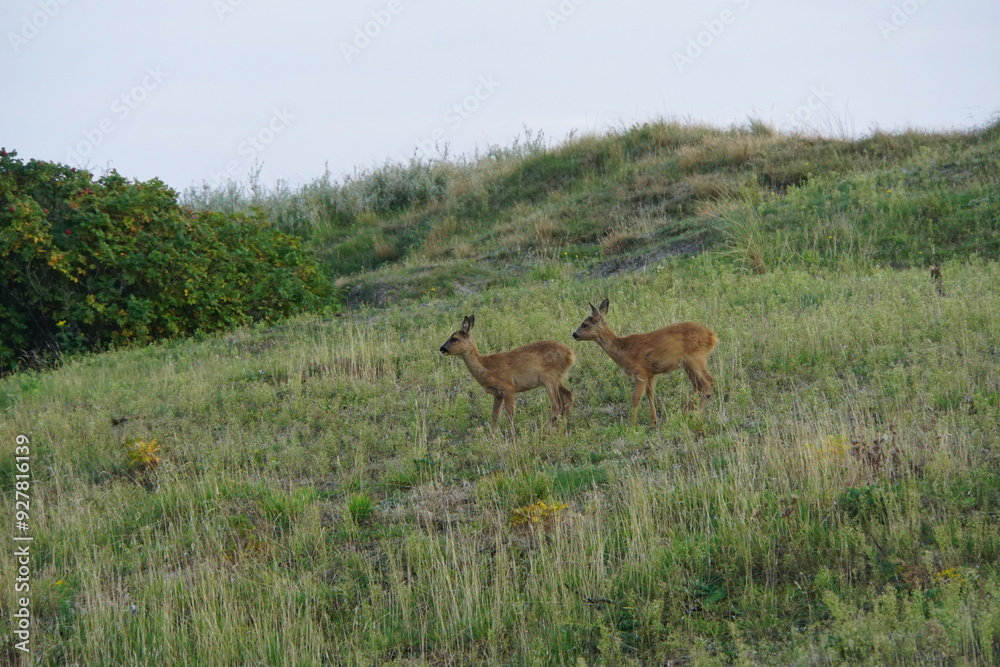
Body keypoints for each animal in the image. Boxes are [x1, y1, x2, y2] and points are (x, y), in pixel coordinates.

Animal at [439, 315, 574, 434]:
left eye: (454, 338)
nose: (441, 348)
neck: (486, 368)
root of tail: (570, 354)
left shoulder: (509, 388)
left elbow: (509, 415)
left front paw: (511, 437)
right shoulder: (497, 394)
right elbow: (494, 416)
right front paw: (492, 437)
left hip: (549, 379)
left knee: (556, 405)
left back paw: (543, 430)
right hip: (556, 379)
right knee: (567, 396)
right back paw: (560, 427)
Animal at [572, 298, 716, 425]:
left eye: (585, 324)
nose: (574, 334)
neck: (623, 350)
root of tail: (712, 336)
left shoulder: (640, 372)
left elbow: (636, 398)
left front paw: (632, 425)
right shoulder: (650, 373)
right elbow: (650, 394)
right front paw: (653, 422)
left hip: (695, 358)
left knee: (708, 382)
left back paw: (696, 415)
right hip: (687, 364)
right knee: (697, 385)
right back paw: (685, 413)